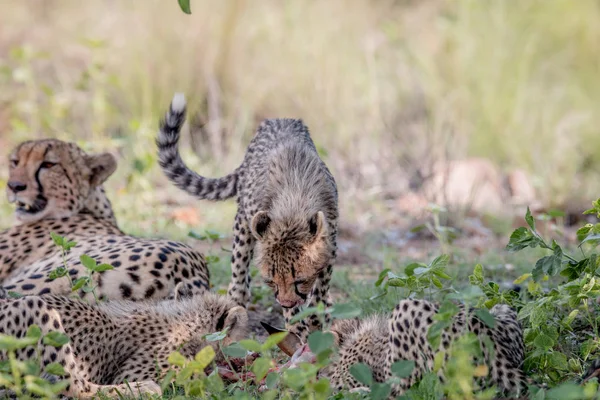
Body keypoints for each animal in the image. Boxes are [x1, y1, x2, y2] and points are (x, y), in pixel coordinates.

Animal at [157, 93, 338, 340]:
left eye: (299, 279)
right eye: (271, 280)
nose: (286, 303)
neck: (294, 203)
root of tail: (279, 119)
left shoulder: (331, 241)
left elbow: (321, 287)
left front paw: (317, 318)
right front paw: (297, 329)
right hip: (243, 224)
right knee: (239, 275)